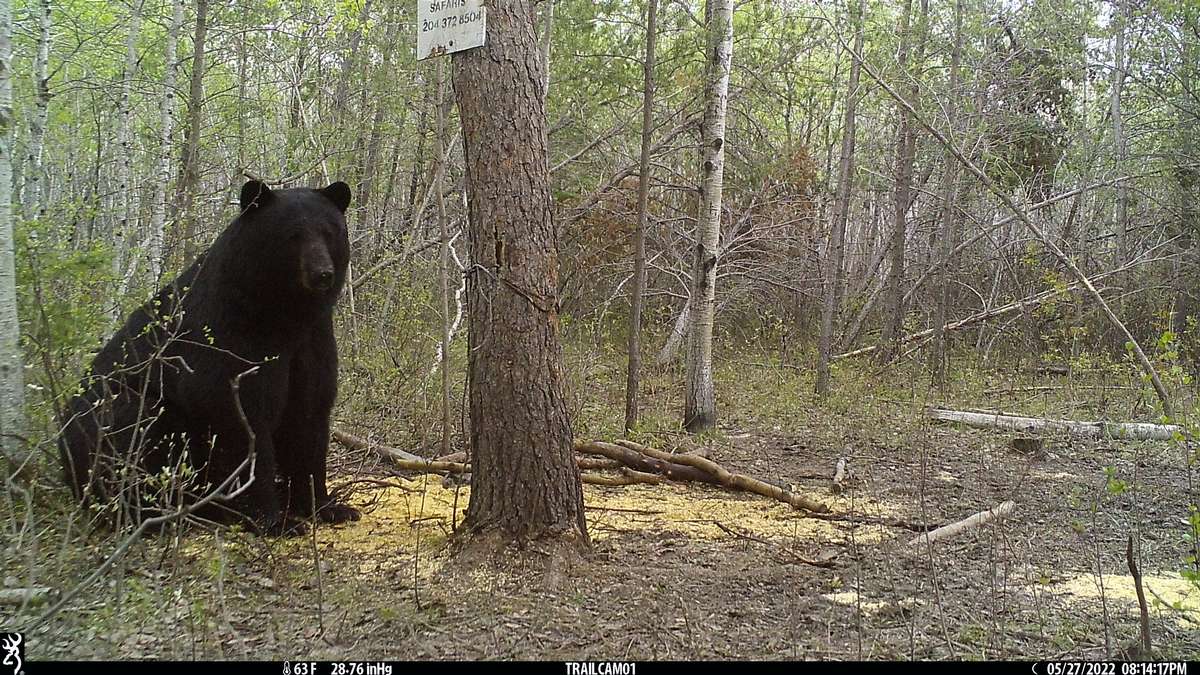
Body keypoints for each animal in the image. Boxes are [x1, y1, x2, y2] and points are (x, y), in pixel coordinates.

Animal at [60, 180, 360, 530]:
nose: (322, 273)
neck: (284, 315)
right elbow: (237, 414)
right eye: (293, 235)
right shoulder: (233, 337)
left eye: (329, 232)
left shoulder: (312, 339)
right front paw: (273, 520)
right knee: (132, 423)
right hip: (114, 414)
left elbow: (309, 413)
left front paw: (326, 506)